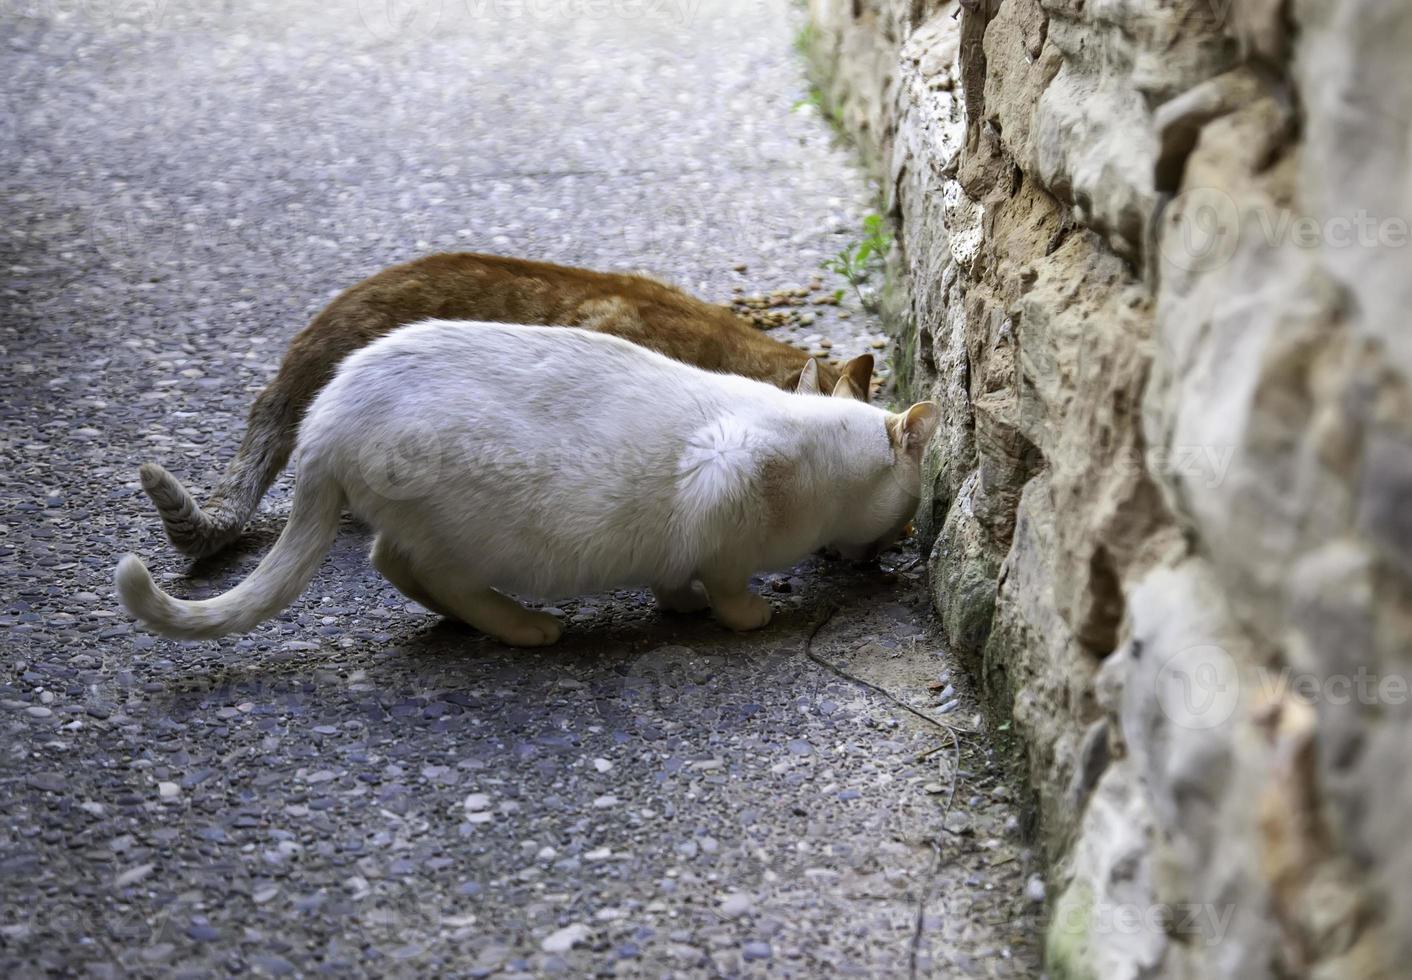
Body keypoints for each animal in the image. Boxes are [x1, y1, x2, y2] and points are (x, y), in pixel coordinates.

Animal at [118, 320, 937, 643]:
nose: (894, 547)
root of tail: (325, 419)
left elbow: (674, 577)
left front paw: (680, 604)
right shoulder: (723, 483)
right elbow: (729, 581)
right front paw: (744, 616)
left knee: (395, 562)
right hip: (466, 529)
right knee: (419, 569)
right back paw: (520, 624)